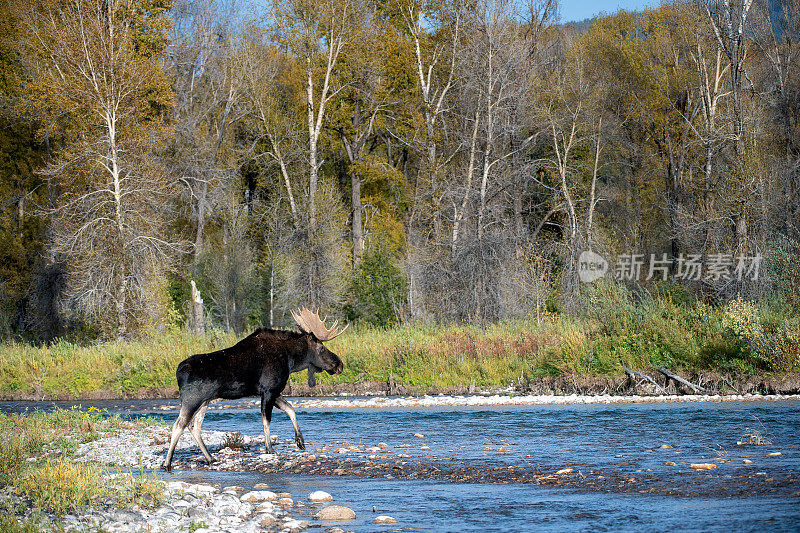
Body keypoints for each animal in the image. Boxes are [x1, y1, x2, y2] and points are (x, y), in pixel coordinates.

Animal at [162, 306, 346, 472]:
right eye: (321, 348)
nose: (339, 365)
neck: (291, 360)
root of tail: (178, 371)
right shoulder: (269, 390)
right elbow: (267, 420)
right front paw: (270, 449)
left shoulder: (274, 391)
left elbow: (291, 409)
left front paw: (300, 441)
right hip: (192, 400)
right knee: (179, 425)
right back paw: (167, 463)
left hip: (205, 401)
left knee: (194, 426)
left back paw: (210, 458)